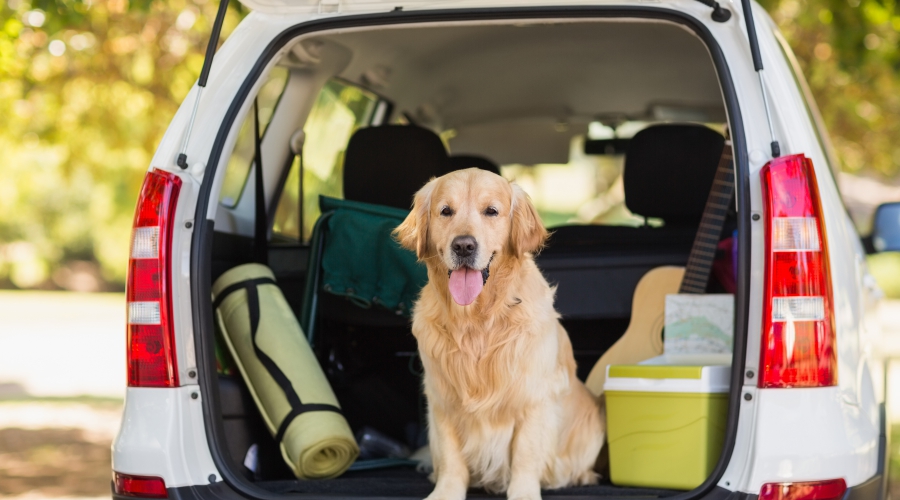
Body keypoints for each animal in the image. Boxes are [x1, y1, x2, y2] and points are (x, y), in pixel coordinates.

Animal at [394, 167, 604, 500]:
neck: (478, 321)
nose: (463, 246)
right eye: (446, 211)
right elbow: (451, 459)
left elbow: (526, 455)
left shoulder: (533, 398)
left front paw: (523, 493)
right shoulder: (442, 398)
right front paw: (446, 492)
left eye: (491, 211)